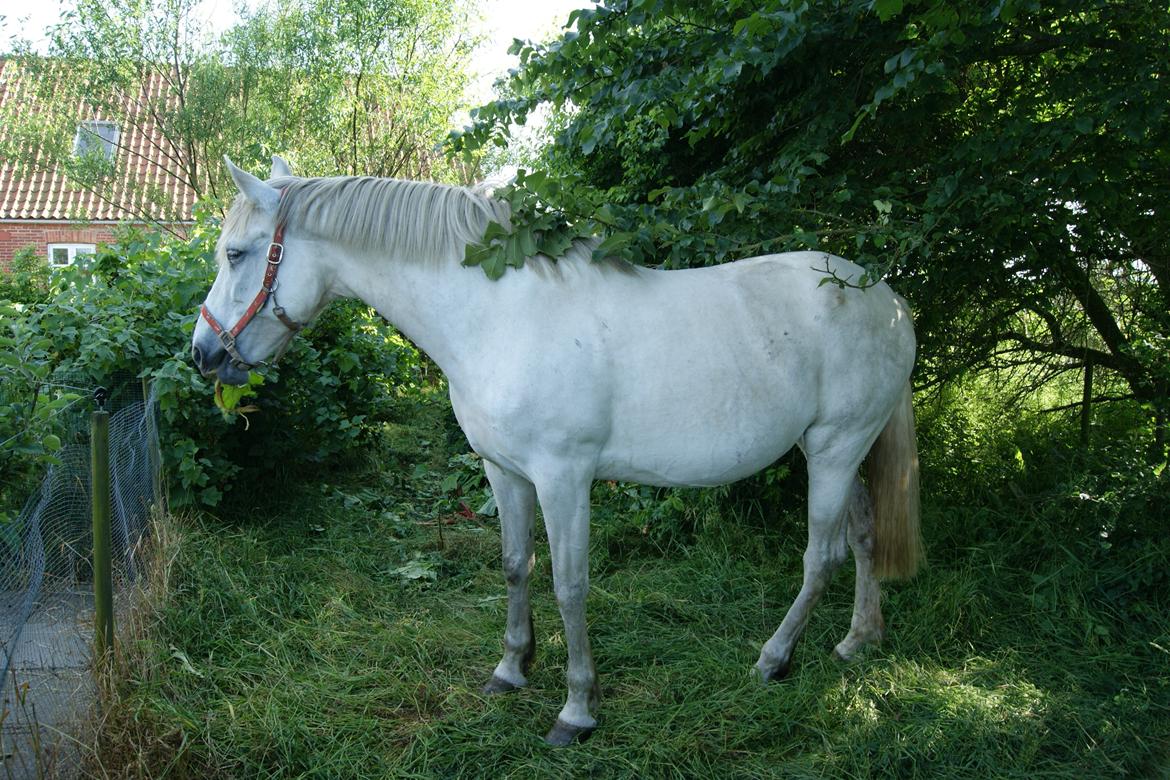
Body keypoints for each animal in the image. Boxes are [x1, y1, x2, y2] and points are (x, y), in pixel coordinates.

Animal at [191, 155, 921, 748]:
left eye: (236, 254)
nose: (203, 355)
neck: (498, 318)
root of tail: (886, 297)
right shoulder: (504, 472)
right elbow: (516, 565)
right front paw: (511, 668)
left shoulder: (563, 478)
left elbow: (570, 586)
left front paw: (577, 709)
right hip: (839, 451)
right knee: (862, 534)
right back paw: (859, 639)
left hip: (834, 449)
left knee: (821, 556)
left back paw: (774, 658)